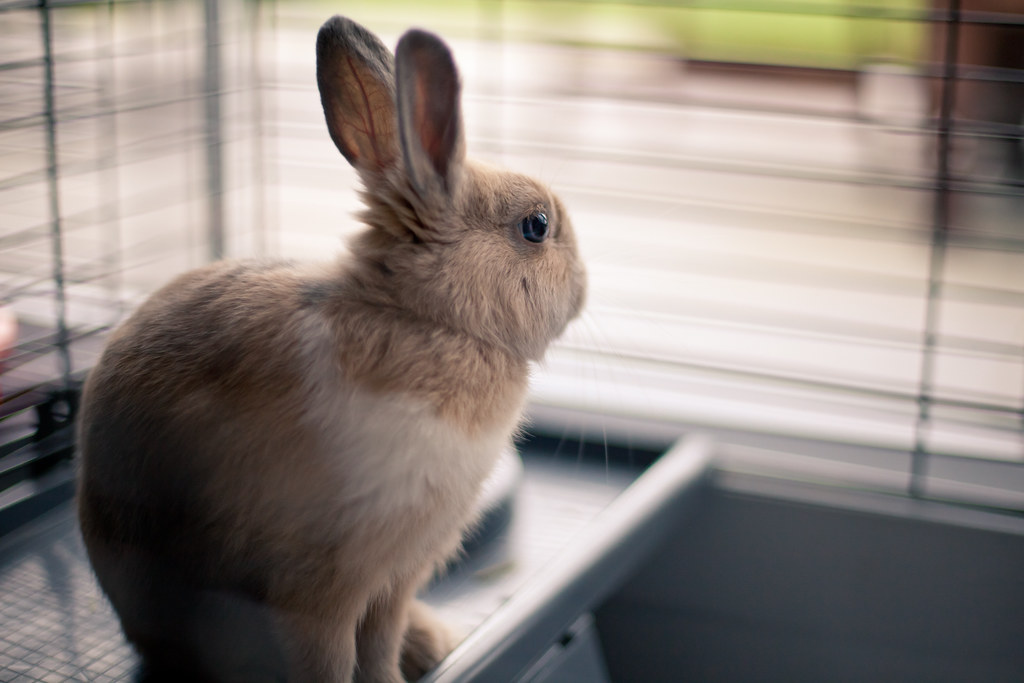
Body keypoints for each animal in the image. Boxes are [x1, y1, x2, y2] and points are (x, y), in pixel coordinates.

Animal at [76, 15, 585, 683]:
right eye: (536, 227)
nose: (583, 289)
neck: (426, 319)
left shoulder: (393, 582)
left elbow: (379, 646)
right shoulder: (320, 590)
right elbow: (333, 659)